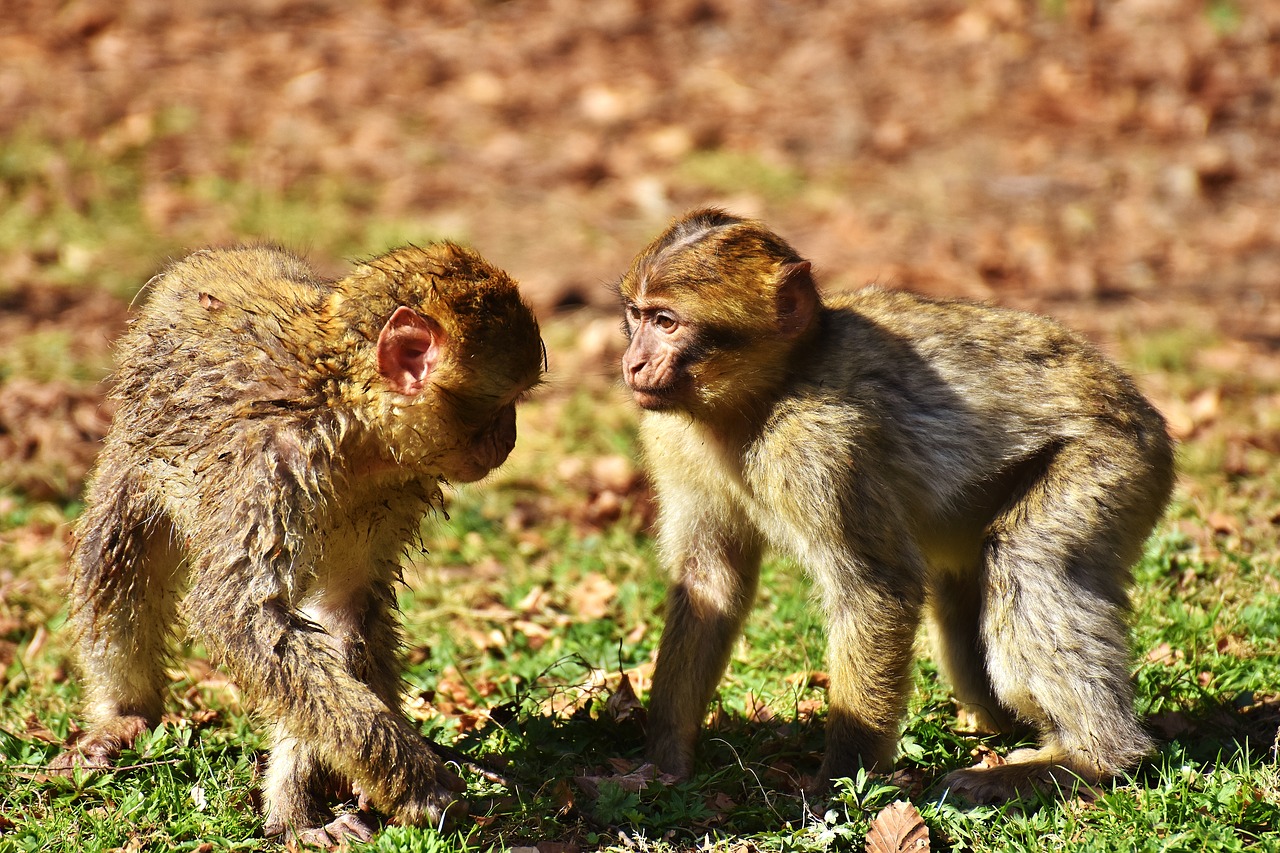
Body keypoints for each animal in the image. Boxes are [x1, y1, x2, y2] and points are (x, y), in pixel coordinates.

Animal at [51, 242, 545, 840]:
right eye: (504, 400)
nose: (510, 438)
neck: (349, 422)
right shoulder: (269, 466)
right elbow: (240, 613)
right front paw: (415, 784)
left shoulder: (396, 483)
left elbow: (342, 609)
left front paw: (303, 795)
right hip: (132, 445)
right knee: (116, 554)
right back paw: (124, 715)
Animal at [614, 208, 1172, 799]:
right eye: (636, 315)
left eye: (667, 322)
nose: (633, 362)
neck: (765, 393)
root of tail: (1141, 407)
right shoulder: (671, 439)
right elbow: (709, 582)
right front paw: (665, 761)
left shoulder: (821, 445)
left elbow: (877, 590)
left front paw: (839, 784)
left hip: (1114, 460)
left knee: (1028, 560)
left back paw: (1091, 758)